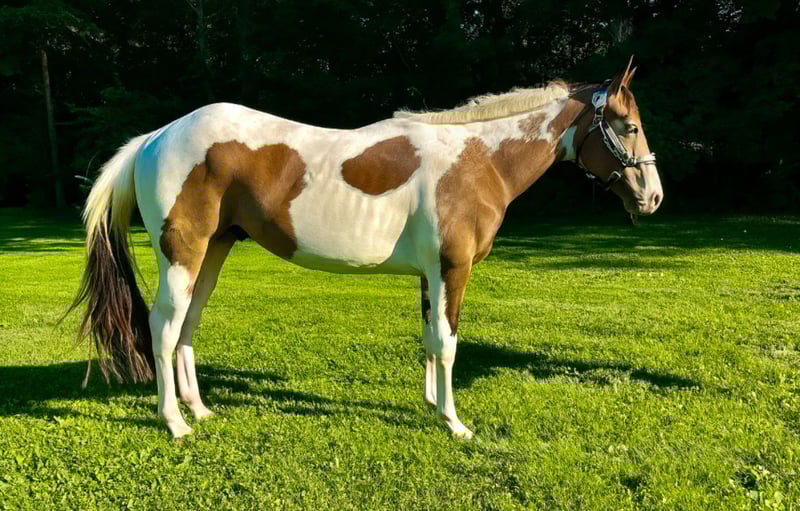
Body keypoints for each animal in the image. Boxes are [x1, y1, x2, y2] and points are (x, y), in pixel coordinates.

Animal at [68, 58, 662, 440]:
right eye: (629, 126)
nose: (653, 197)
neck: (477, 158)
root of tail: (155, 137)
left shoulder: (430, 273)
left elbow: (429, 339)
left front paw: (433, 407)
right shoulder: (452, 269)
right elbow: (449, 343)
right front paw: (456, 425)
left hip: (212, 252)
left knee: (187, 324)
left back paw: (200, 410)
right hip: (182, 253)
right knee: (163, 327)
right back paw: (173, 423)